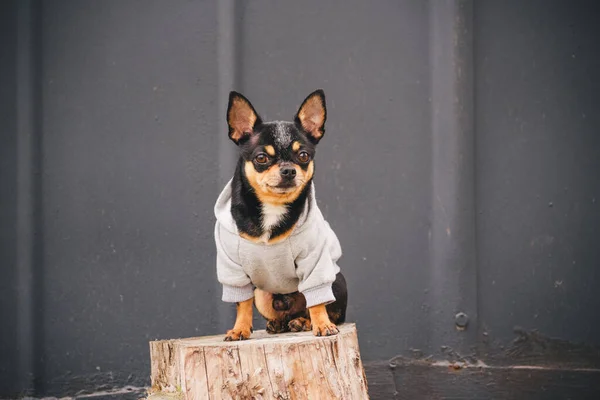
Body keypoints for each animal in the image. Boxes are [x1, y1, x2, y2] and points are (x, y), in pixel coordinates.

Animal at [214, 89, 346, 340]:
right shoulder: (233, 269)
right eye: (261, 158)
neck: (273, 206)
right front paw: (239, 329)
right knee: (280, 314)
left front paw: (322, 325)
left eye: (303, 155)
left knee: (321, 307)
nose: (288, 170)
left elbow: (318, 301)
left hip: (335, 281)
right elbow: (242, 303)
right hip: (261, 294)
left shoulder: (314, 262)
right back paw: (279, 324)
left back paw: (304, 322)